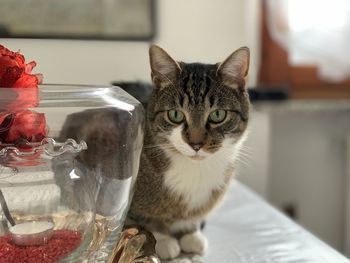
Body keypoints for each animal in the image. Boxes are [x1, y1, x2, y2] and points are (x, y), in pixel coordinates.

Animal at [128, 44, 249, 260]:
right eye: (176, 115)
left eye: (218, 115)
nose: (196, 143)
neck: (195, 170)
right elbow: (147, 218)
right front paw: (163, 240)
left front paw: (191, 234)